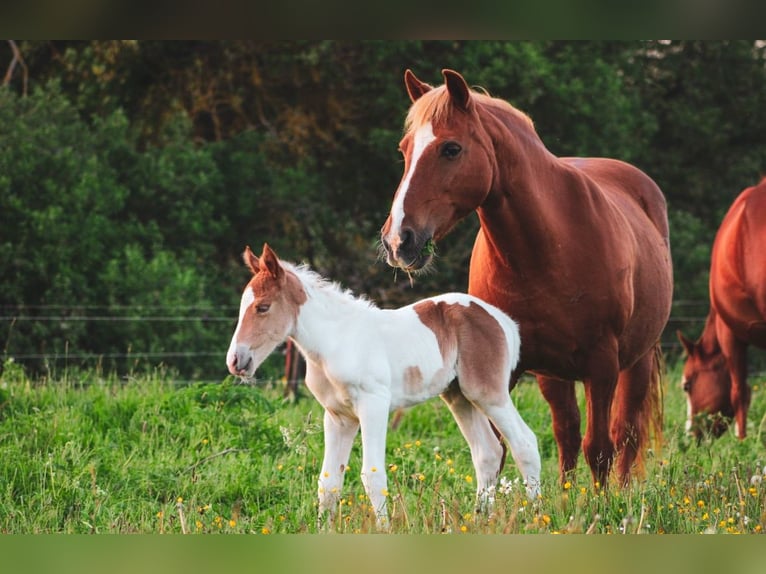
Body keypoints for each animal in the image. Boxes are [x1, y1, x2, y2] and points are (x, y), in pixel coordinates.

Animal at [225, 243, 544, 532]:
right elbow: (328, 482)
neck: (336, 340)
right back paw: (480, 520)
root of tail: (501, 319)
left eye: (262, 307)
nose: (236, 361)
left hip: (487, 393)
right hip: (458, 396)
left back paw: (535, 518)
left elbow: (372, 475)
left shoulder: (373, 405)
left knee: (525, 443)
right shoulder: (338, 417)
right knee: (487, 453)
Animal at [380, 70, 676, 488]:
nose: (397, 240)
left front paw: (603, 505)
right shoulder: (502, 367)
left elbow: (599, 449)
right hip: (553, 373)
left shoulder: (602, 365)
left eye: (451, 149)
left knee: (625, 433)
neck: (548, 250)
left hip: (638, 361)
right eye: (404, 150)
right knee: (566, 431)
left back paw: (623, 493)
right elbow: (501, 450)